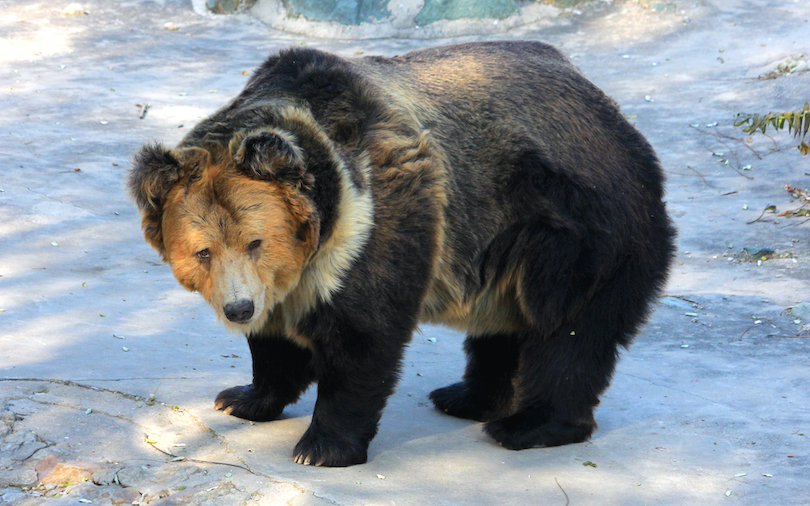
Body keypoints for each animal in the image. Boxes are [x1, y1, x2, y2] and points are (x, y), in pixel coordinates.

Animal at [128, 41, 676, 468]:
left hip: (573, 223)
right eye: (203, 251)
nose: (238, 308)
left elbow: (362, 336)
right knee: (503, 325)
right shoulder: (285, 279)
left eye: (256, 241)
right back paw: (466, 397)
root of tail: (613, 114)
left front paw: (321, 447)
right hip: (501, 240)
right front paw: (241, 398)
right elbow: (275, 344)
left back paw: (527, 424)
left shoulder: (375, 221)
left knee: (569, 330)